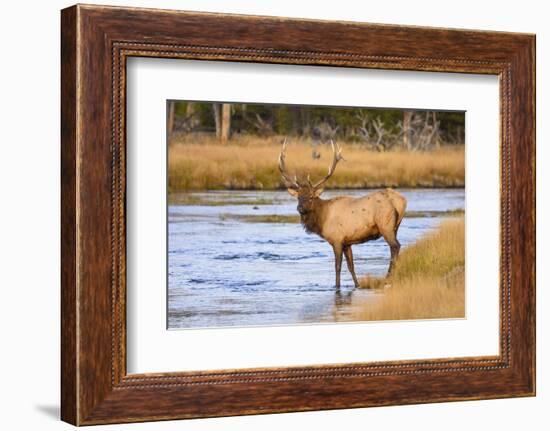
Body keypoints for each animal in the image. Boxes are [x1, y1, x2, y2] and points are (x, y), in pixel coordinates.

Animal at [282, 140, 408, 288]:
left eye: (311, 197)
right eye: (298, 197)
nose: (300, 208)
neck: (322, 219)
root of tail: (401, 201)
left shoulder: (337, 240)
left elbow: (338, 266)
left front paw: (336, 286)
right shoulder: (347, 242)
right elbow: (351, 266)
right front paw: (357, 285)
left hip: (385, 225)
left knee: (395, 246)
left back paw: (388, 277)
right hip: (396, 226)